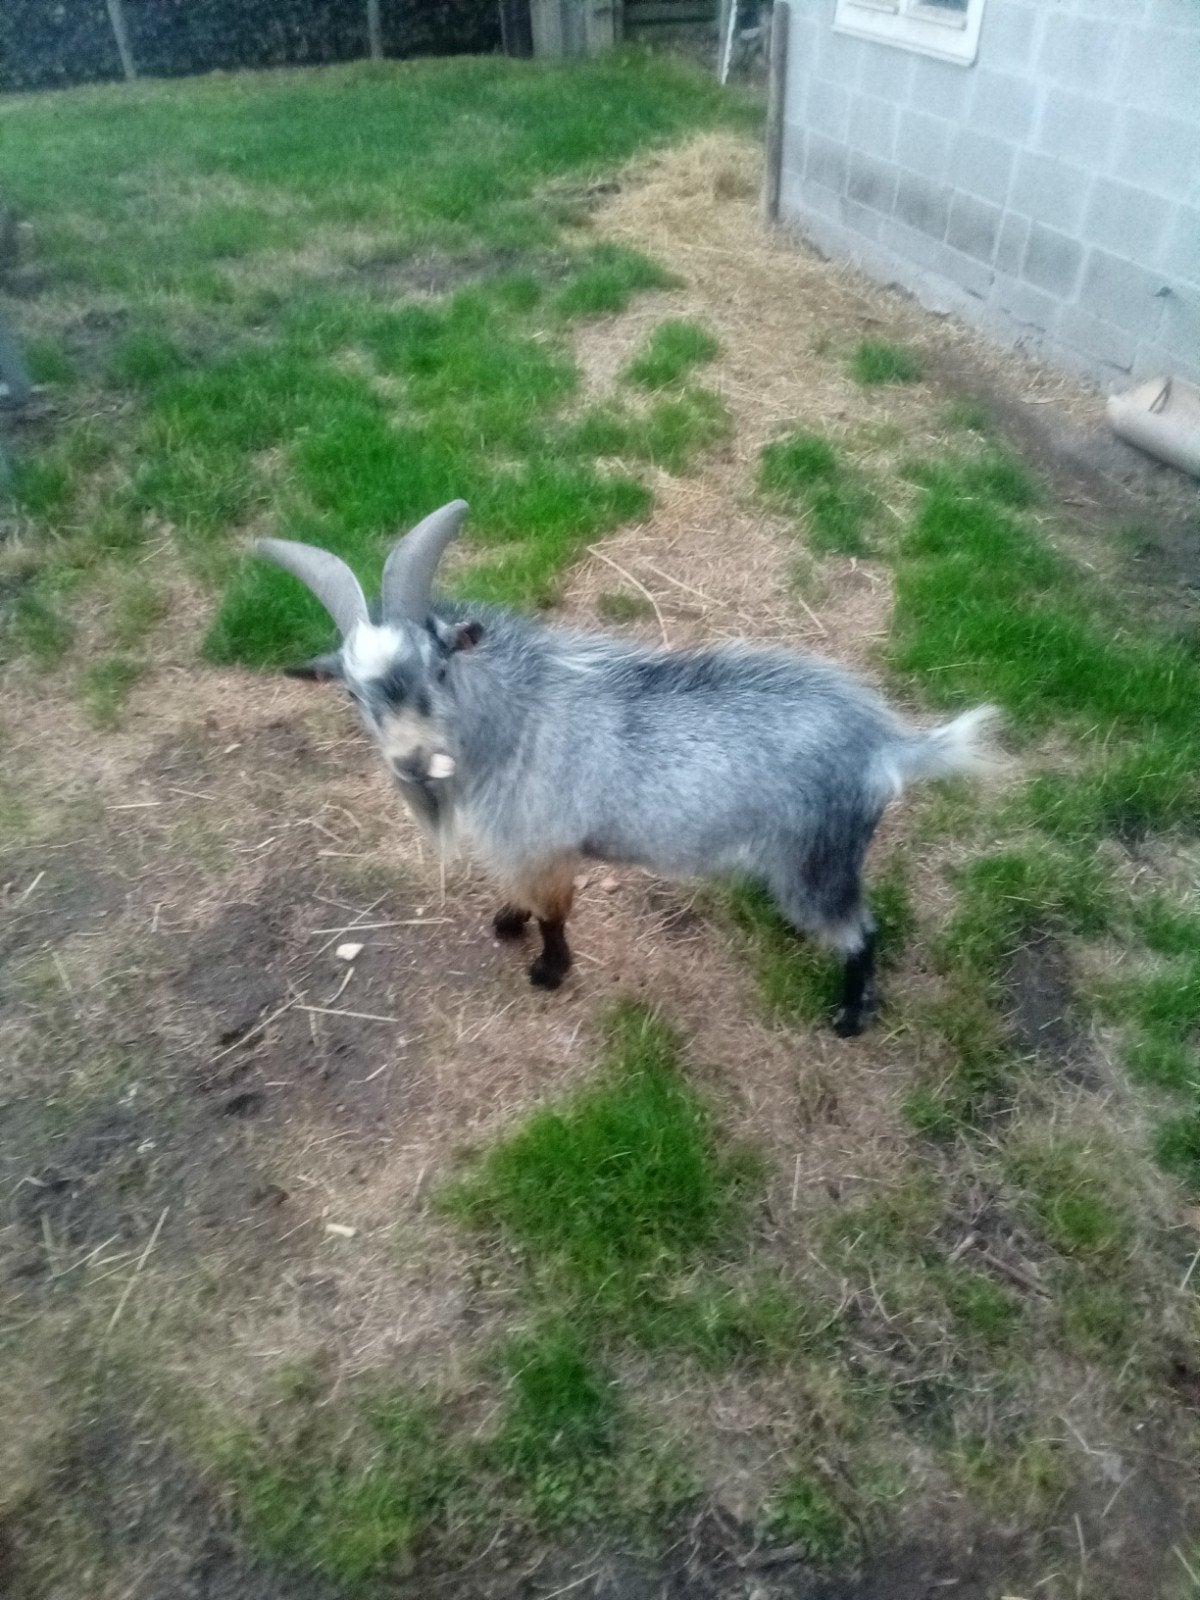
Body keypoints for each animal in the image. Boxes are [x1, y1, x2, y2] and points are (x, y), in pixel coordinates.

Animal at [258, 501, 998, 1035]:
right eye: (352, 694)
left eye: (439, 668)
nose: (413, 763)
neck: (518, 720)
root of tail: (887, 743)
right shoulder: (518, 845)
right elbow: (520, 897)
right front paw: (506, 921)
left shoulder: (546, 844)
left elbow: (554, 914)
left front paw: (548, 971)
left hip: (818, 859)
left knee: (862, 932)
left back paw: (848, 1018)